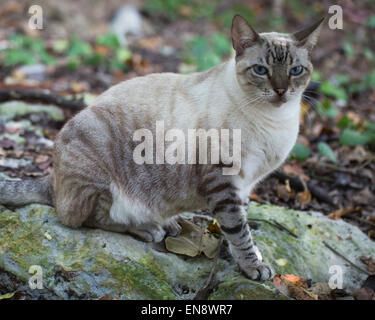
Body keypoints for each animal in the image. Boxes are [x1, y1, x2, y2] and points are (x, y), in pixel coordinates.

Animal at [0, 15, 324, 280]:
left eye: (296, 70)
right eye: (261, 70)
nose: (281, 91)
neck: (275, 122)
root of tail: (52, 179)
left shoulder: (245, 185)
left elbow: (240, 228)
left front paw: (251, 258)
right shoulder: (224, 181)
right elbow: (239, 231)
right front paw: (253, 267)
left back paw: (171, 224)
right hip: (99, 170)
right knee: (87, 219)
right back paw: (148, 228)